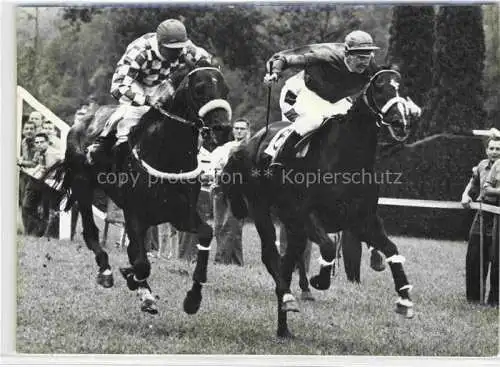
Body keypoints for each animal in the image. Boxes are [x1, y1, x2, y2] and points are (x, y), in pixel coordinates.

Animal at [45, 64, 232, 316]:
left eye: (226, 90)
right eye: (200, 89)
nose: (223, 129)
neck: (167, 154)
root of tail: (80, 123)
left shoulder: (180, 214)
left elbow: (205, 234)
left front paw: (193, 299)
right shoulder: (134, 213)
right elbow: (141, 263)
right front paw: (132, 278)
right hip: (83, 186)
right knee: (91, 231)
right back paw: (106, 271)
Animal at [223, 70, 414, 338]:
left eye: (402, 89)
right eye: (380, 89)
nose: (400, 122)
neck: (347, 158)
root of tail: (249, 143)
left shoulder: (363, 221)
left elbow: (392, 249)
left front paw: (404, 299)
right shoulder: (307, 216)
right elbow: (327, 247)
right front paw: (320, 280)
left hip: (290, 224)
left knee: (288, 261)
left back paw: (284, 324)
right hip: (261, 209)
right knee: (271, 255)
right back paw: (289, 298)